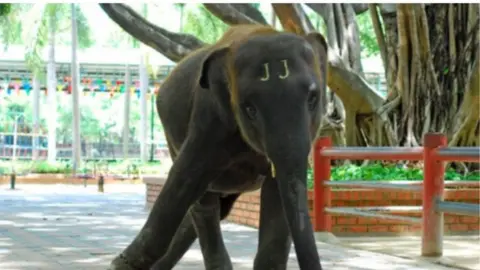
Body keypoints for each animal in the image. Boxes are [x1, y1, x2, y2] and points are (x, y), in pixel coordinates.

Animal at [108, 24, 326, 268]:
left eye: (313, 98)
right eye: (249, 109)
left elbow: (276, 200)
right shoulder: (208, 118)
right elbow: (185, 178)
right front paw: (120, 264)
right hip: (172, 136)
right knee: (204, 206)